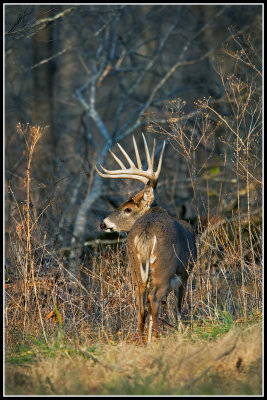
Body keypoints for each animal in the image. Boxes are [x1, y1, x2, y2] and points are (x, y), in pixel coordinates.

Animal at [96, 134, 197, 340]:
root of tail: (146, 234)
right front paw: (181, 331)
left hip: (135, 269)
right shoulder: (184, 273)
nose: (103, 224)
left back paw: (143, 340)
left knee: (141, 307)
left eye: (127, 208)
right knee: (154, 300)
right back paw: (157, 339)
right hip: (164, 268)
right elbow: (178, 308)